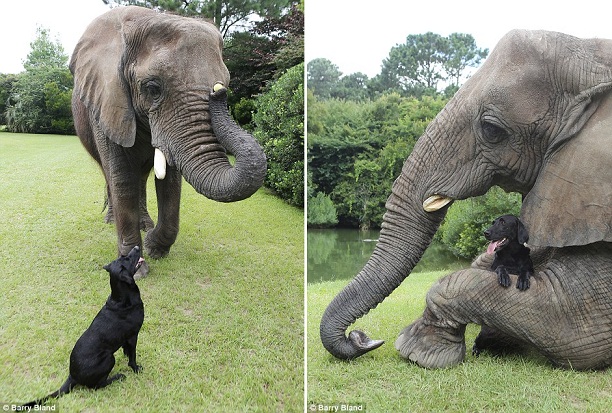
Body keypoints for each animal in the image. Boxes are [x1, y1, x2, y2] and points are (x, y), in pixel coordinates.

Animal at [24, 245, 145, 406]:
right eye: (127, 258)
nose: (137, 247)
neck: (121, 299)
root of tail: (72, 376)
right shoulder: (133, 336)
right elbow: (132, 357)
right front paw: (136, 368)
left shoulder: (127, 338)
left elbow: (127, 350)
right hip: (109, 358)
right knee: (97, 386)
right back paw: (117, 377)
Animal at [69, 6, 266, 268]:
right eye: (152, 88)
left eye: (226, 82)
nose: (218, 92)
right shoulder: (108, 102)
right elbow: (122, 178)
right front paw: (135, 267)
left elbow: (170, 182)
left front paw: (155, 248)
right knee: (111, 175)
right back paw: (112, 220)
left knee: (141, 178)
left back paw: (145, 225)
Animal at [320, 29, 612, 370]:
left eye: (491, 129)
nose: (361, 337)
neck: (589, 50)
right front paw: (486, 340)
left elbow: (574, 326)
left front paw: (419, 351)